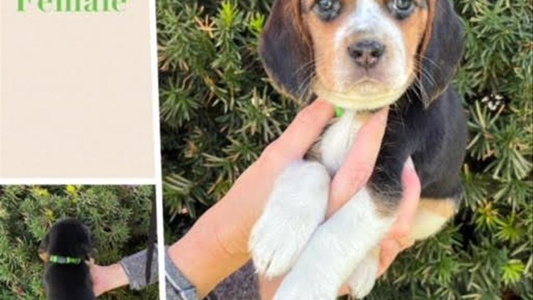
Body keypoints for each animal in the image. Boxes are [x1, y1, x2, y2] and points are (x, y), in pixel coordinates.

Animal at [249, 1, 466, 298]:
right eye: (326, 5)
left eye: (403, 4)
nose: (366, 50)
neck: (357, 111)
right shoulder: (314, 143)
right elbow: (311, 171)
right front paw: (278, 235)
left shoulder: (388, 182)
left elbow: (335, 235)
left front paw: (303, 288)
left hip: (440, 207)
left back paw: (364, 268)